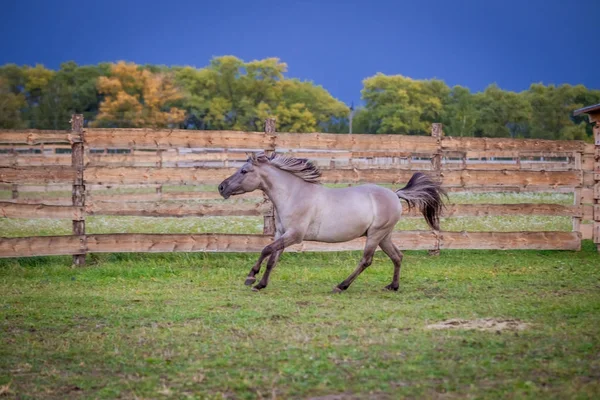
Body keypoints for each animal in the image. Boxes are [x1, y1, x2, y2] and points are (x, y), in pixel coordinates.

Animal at [217, 152, 446, 292]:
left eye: (244, 171)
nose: (221, 187)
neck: (293, 195)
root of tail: (395, 194)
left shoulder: (294, 235)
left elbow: (266, 250)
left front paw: (251, 278)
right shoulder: (281, 234)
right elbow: (273, 258)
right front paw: (260, 284)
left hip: (375, 235)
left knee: (366, 260)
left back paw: (341, 286)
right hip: (384, 236)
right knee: (397, 256)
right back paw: (393, 286)